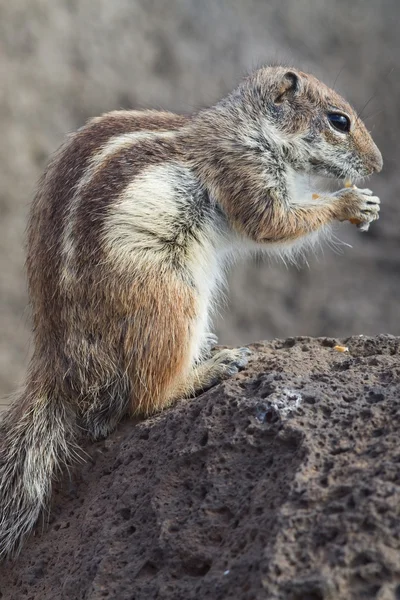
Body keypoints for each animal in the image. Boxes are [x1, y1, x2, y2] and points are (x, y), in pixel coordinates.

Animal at [0, 65, 382, 556]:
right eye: (339, 121)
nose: (378, 164)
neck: (252, 126)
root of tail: (59, 362)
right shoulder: (243, 172)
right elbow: (274, 223)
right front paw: (351, 203)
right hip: (171, 301)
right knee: (146, 399)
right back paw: (211, 368)